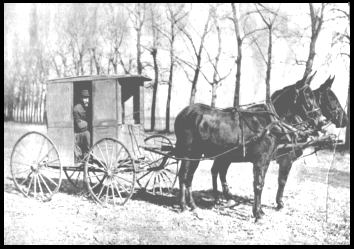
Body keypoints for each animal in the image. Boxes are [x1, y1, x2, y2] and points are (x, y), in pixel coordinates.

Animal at [174, 70, 324, 220]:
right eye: (308, 96)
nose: (322, 120)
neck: (268, 123)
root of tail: (183, 113)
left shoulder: (266, 160)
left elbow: (262, 183)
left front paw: (260, 211)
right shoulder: (260, 160)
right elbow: (258, 185)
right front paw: (257, 214)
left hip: (198, 154)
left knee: (191, 176)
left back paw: (194, 206)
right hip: (188, 152)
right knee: (183, 175)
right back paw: (183, 206)